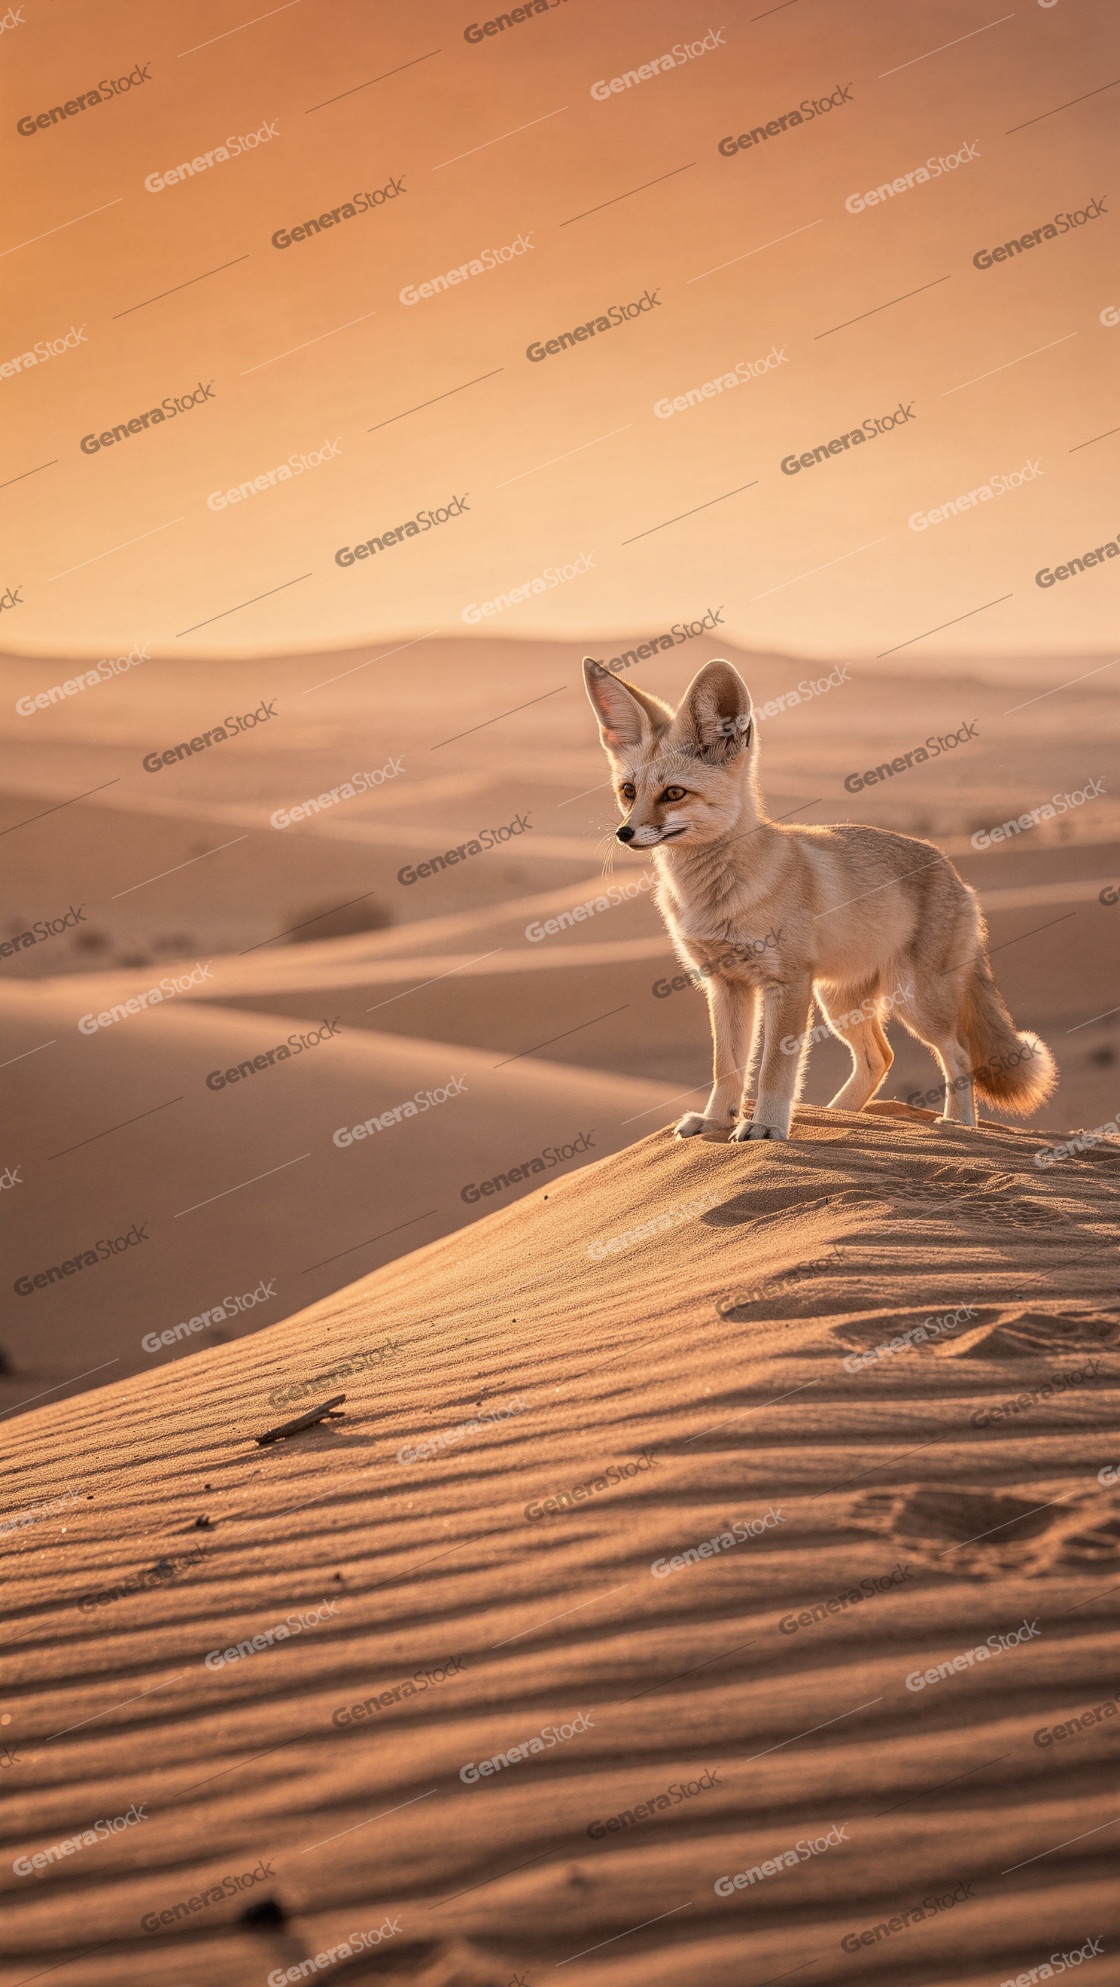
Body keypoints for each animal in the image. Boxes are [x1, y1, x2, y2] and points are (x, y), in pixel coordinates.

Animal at [583, 655, 1056, 1141]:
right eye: (628, 791)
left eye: (674, 793)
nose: (624, 833)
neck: (716, 897)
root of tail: (956, 873)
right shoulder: (726, 984)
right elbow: (727, 1067)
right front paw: (716, 1121)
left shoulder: (788, 983)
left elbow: (775, 1068)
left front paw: (766, 1127)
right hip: (840, 1002)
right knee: (879, 1057)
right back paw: (841, 1116)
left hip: (914, 1001)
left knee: (957, 1053)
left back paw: (958, 1125)